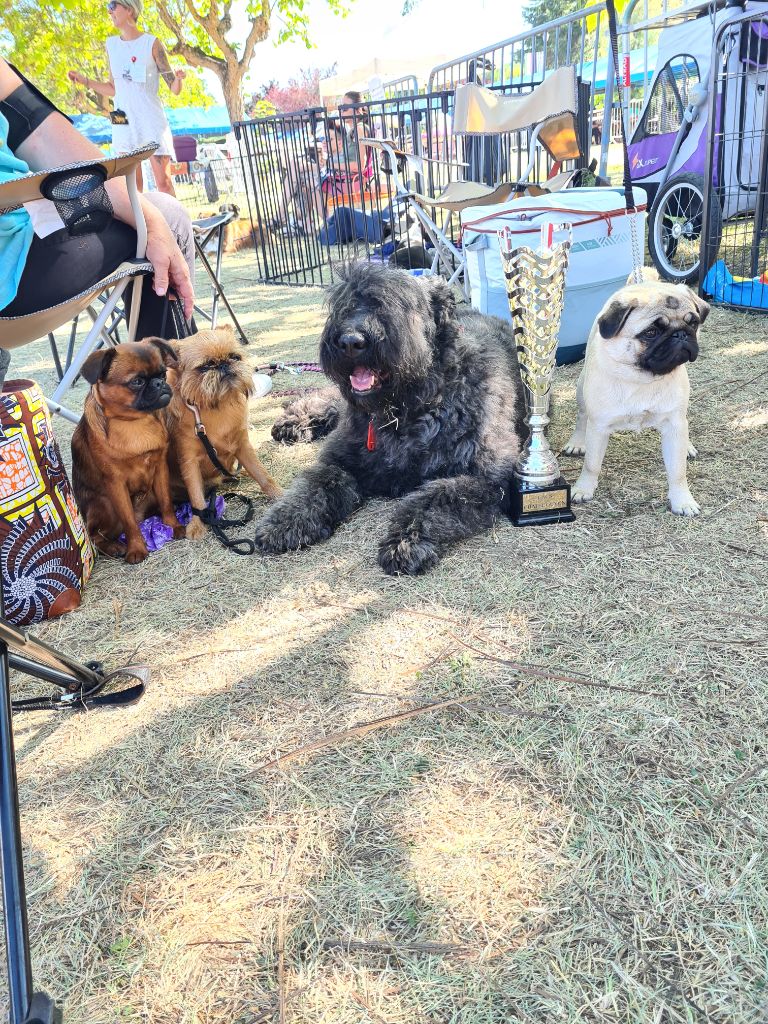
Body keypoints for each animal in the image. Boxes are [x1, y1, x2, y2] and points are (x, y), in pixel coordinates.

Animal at [72, 339, 186, 565]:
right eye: (137, 382)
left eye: (163, 374)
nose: (159, 383)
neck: (134, 423)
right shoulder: (116, 484)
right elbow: (129, 522)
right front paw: (136, 548)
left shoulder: (160, 470)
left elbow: (167, 502)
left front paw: (173, 525)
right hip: (106, 505)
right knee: (95, 535)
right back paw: (114, 546)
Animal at [165, 327, 282, 540]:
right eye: (205, 366)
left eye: (234, 357)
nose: (223, 364)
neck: (216, 406)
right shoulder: (189, 462)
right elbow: (196, 496)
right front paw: (197, 524)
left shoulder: (243, 446)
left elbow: (262, 475)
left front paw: (279, 494)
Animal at [252, 264, 528, 577]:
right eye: (343, 302)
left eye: (398, 302)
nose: (350, 341)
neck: (406, 411)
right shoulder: (340, 460)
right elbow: (315, 485)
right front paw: (285, 520)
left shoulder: (487, 478)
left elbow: (436, 498)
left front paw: (406, 540)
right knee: (327, 397)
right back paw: (294, 422)